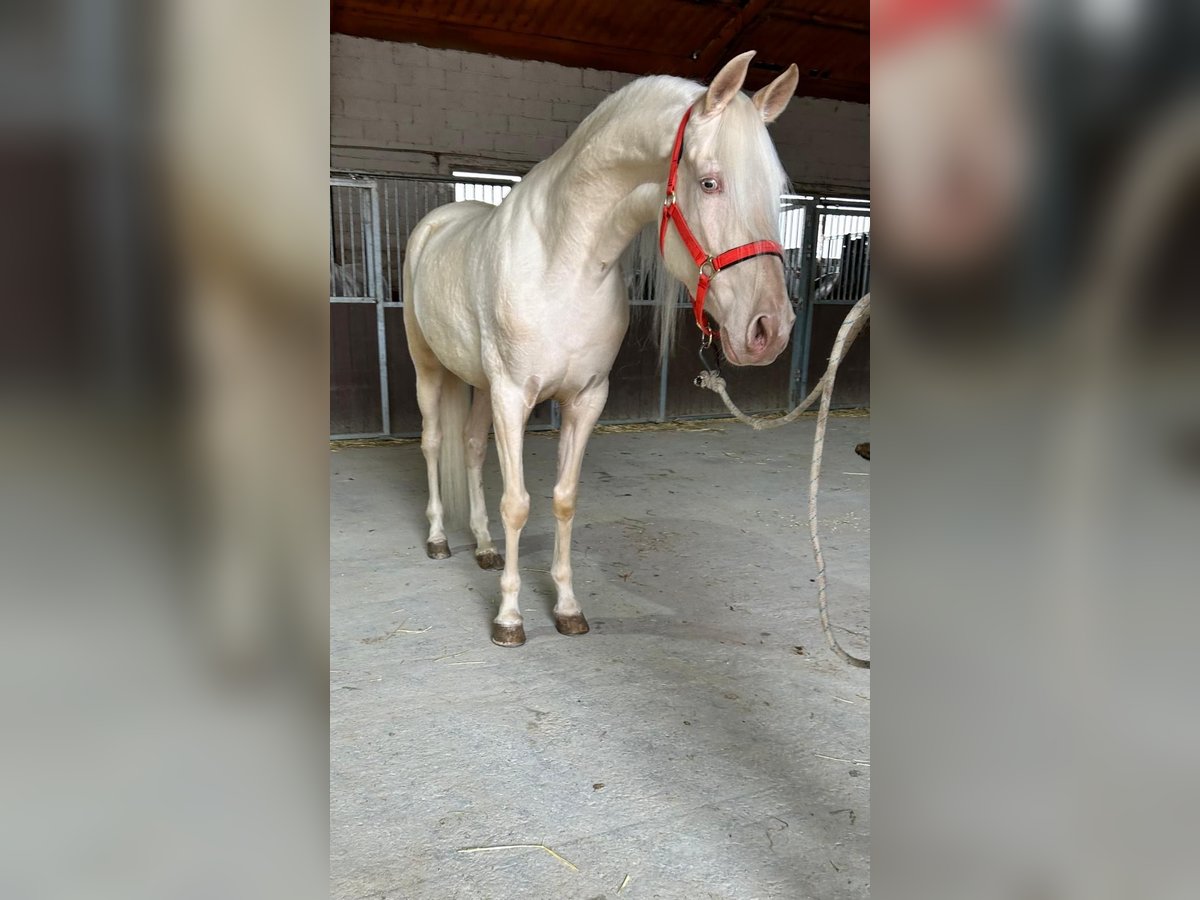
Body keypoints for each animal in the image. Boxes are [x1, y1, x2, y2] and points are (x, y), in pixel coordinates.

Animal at [398, 51, 801, 648]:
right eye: (710, 183)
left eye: (777, 190)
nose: (769, 328)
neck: (564, 261)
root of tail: (437, 223)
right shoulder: (513, 396)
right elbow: (517, 504)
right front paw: (509, 618)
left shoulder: (585, 399)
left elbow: (564, 500)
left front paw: (567, 607)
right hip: (429, 370)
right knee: (432, 444)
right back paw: (438, 540)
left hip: (479, 385)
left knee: (469, 448)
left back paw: (485, 548)